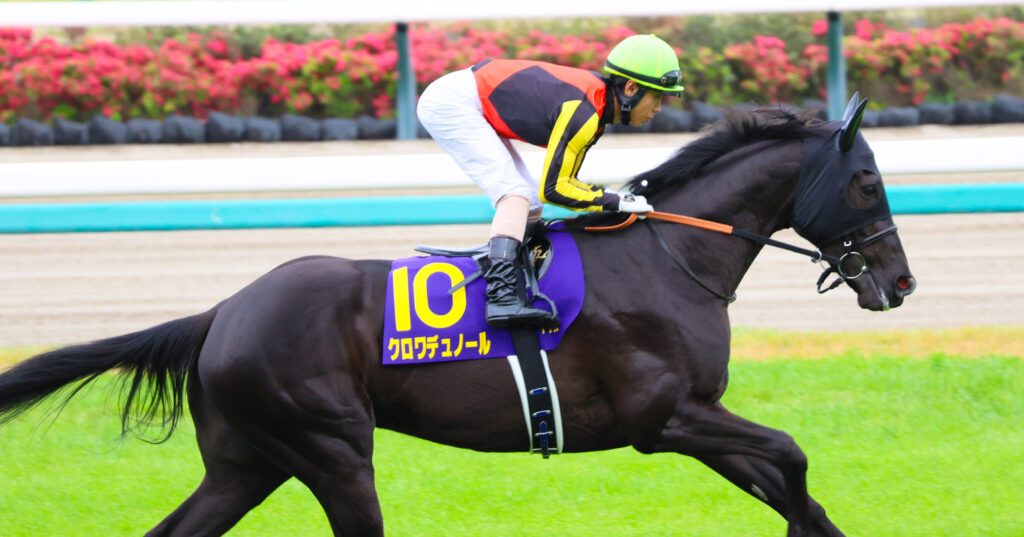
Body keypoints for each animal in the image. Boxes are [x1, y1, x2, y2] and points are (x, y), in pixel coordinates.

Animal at [0, 99, 916, 537]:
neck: (670, 254)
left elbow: (785, 477)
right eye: (869, 181)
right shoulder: (664, 417)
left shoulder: (695, 417)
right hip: (332, 449)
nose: (901, 282)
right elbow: (789, 453)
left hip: (246, 463)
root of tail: (221, 311)